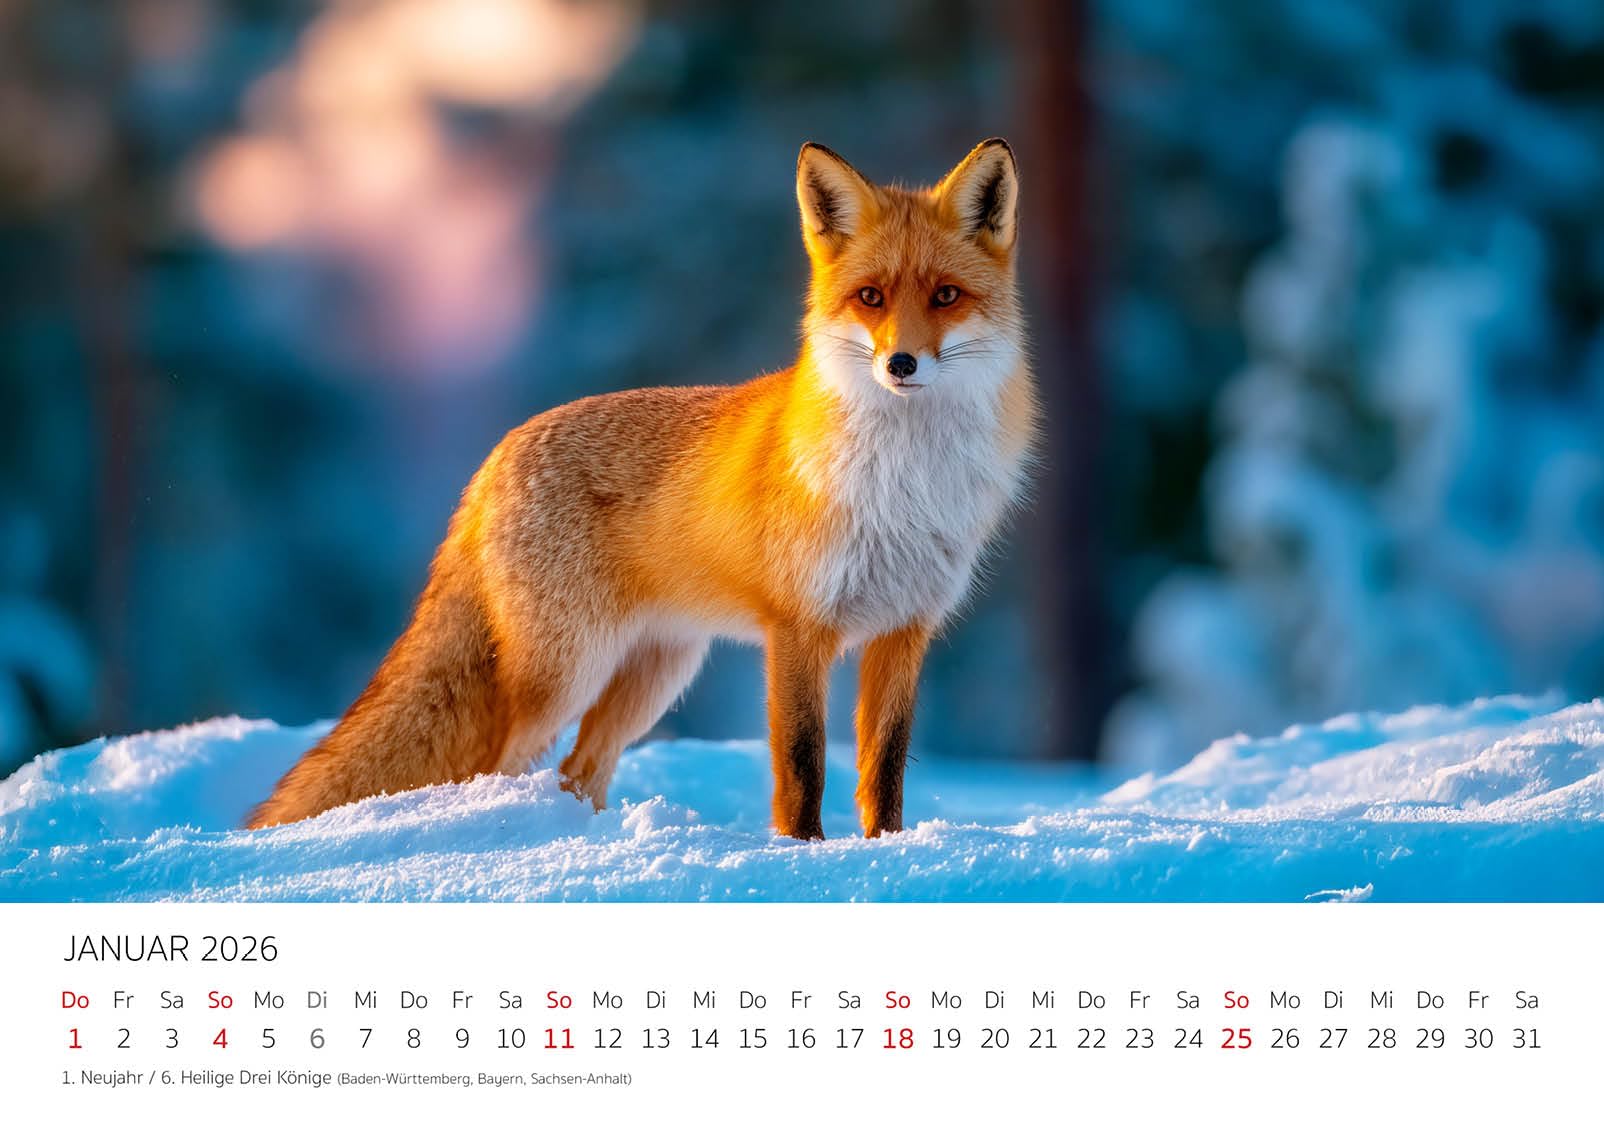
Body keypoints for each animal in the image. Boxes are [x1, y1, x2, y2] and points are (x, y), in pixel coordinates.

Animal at [246, 137, 1036, 839]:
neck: (906, 484)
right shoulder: (797, 629)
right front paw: (804, 854)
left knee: (580, 771)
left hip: (653, 676)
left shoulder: (905, 630)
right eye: (870, 297)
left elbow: (885, 770)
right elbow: (803, 766)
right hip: (567, 672)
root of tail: (495, 456)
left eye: (946, 296)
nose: (900, 363)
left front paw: (885, 850)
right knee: (505, 762)